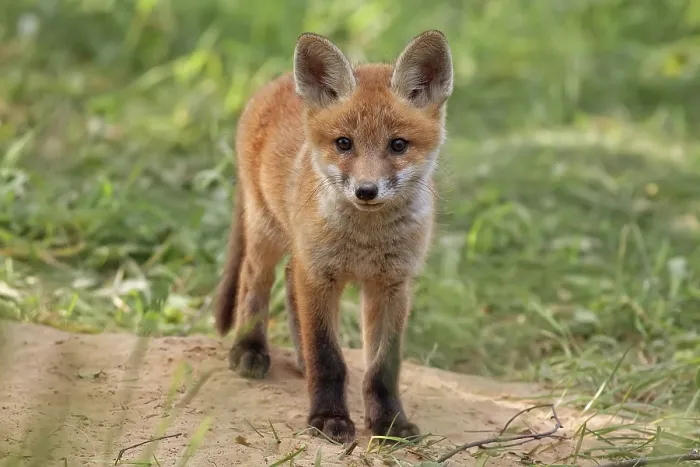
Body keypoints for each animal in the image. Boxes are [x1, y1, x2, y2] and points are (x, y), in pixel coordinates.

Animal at [214, 30, 453, 444]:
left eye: (398, 145)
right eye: (344, 143)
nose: (366, 191)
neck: (365, 242)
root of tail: (274, 83)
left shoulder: (392, 285)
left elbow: (382, 369)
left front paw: (390, 423)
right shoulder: (319, 275)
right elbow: (328, 358)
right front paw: (328, 418)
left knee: (289, 284)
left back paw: (298, 358)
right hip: (266, 232)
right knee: (254, 281)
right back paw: (250, 348)